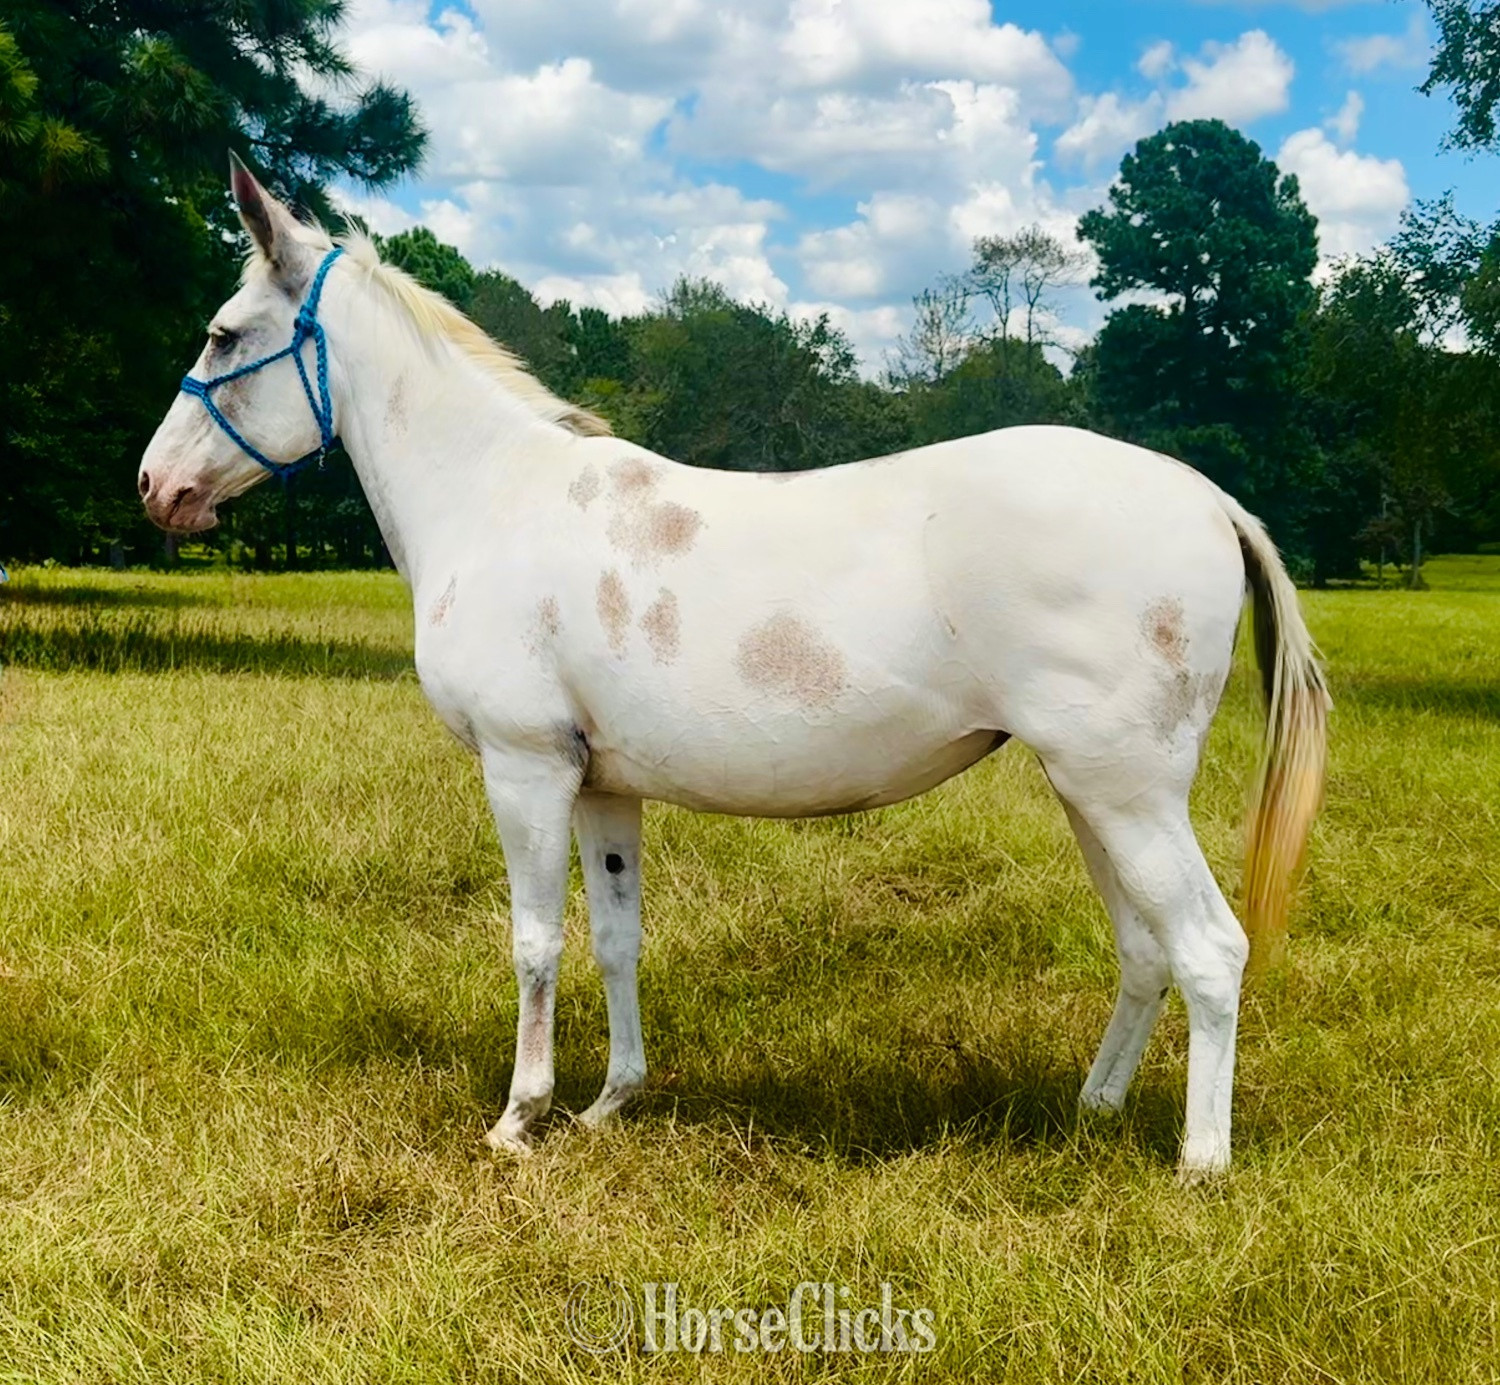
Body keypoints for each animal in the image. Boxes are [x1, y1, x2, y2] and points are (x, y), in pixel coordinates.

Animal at [138, 159, 1328, 1180]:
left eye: (224, 333)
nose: (155, 486)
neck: (493, 494)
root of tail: (1208, 498)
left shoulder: (524, 769)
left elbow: (535, 941)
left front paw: (520, 1117)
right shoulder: (601, 784)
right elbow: (616, 938)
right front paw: (611, 1102)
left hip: (1129, 794)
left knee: (1208, 947)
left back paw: (1200, 1161)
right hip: (1090, 791)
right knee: (1144, 950)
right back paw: (1095, 1109)